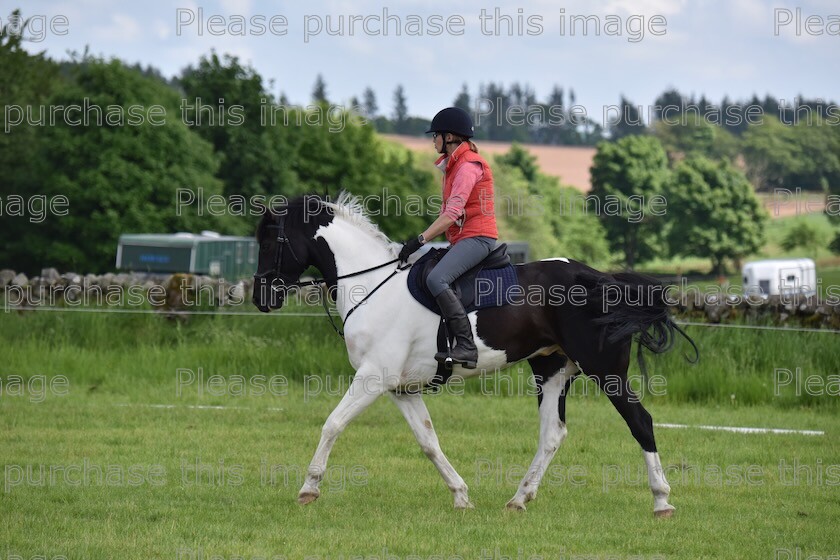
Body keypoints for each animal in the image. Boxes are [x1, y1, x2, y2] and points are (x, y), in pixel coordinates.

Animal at [253, 192, 700, 516]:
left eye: (270, 242)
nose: (261, 298)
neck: (372, 286)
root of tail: (600, 278)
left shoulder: (373, 377)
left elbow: (332, 424)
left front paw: (309, 488)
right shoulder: (401, 389)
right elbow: (428, 442)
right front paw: (461, 495)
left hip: (605, 370)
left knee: (640, 422)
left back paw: (661, 500)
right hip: (551, 369)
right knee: (552, 433)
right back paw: (519, 499)